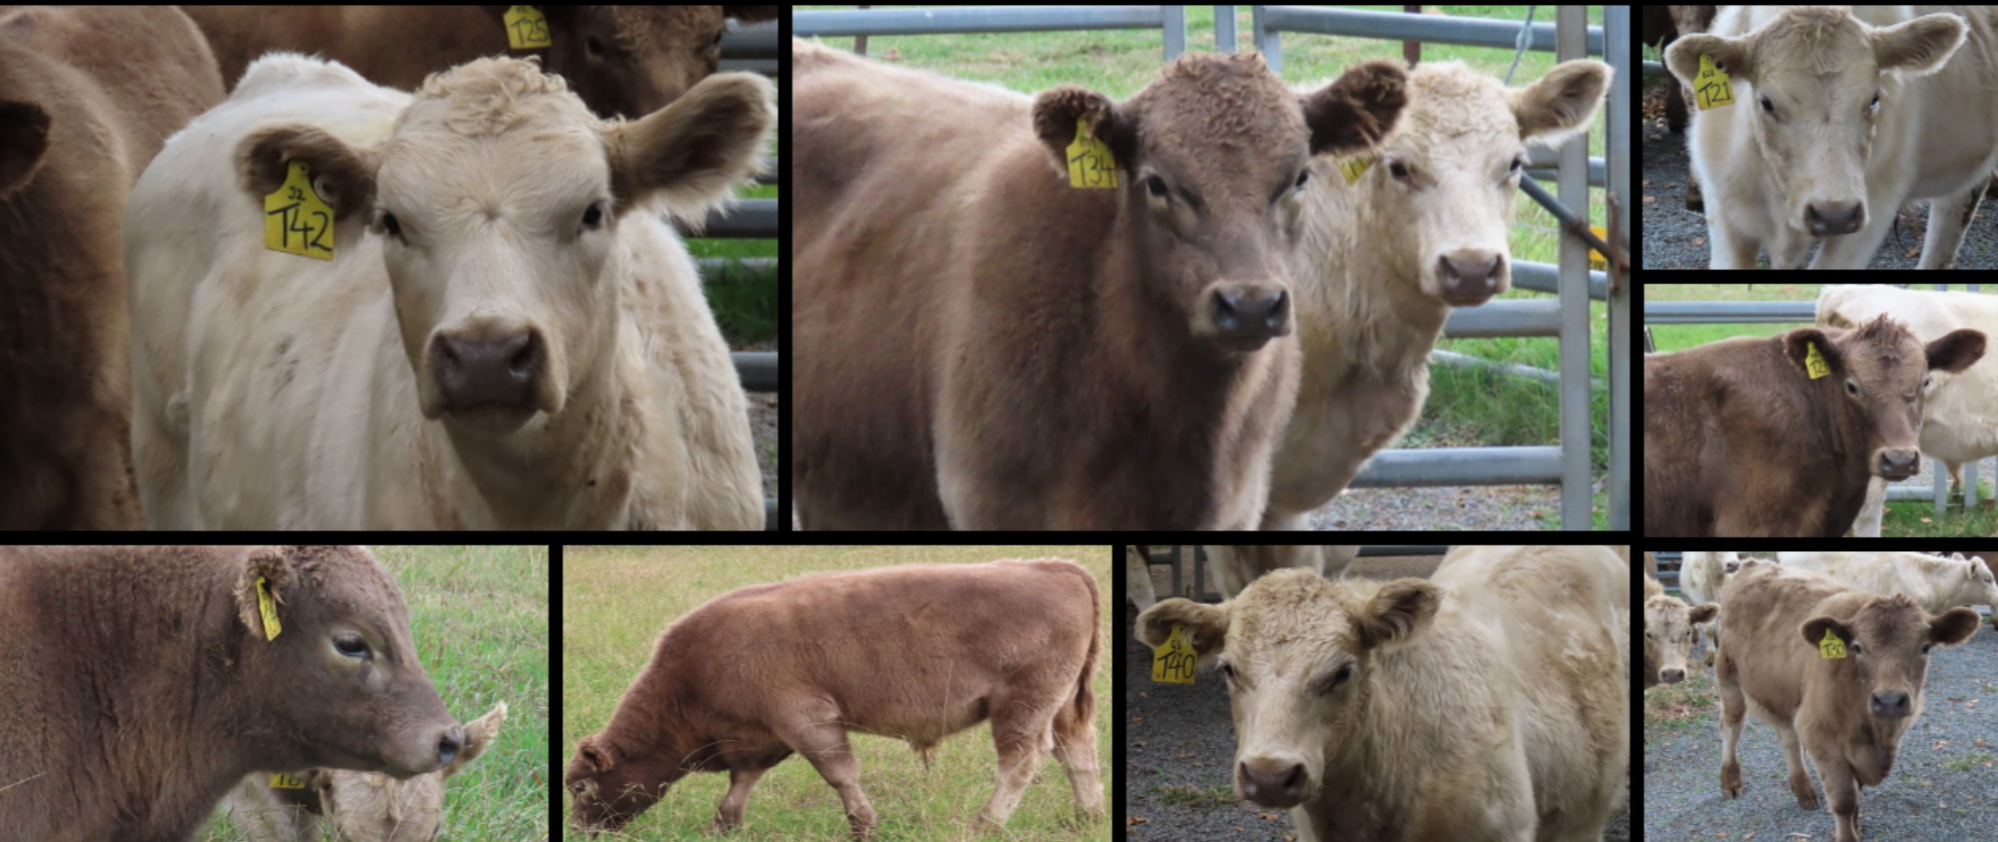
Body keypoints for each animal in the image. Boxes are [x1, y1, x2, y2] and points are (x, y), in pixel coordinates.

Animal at [564, 559, 1103, 838]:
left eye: (581, 787)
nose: (582, 829)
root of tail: (1055, 567)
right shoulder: (760, 735)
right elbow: (743, 781)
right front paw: (723, 825)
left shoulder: (807, 721)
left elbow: (839, 773)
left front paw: (864, 826)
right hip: (1062, 708)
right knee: (1078, 753)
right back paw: (1087, 818)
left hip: (1023, 706)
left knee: (1022, 760)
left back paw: (985, 824)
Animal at [1716, 559, 1980, 842]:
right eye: (1857, 647)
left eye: (1926, 647)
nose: (1889, 700)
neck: (1874, 734)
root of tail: (1753, 563)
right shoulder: (1821, 739)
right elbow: (1844, 800)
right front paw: (1847, 833)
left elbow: (1857, 792)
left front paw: (1856, 825)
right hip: (1728, 674)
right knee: (1731, 726)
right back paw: (1730, 781)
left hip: (1785, 691)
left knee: (1788, 736)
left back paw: (1803, 790)